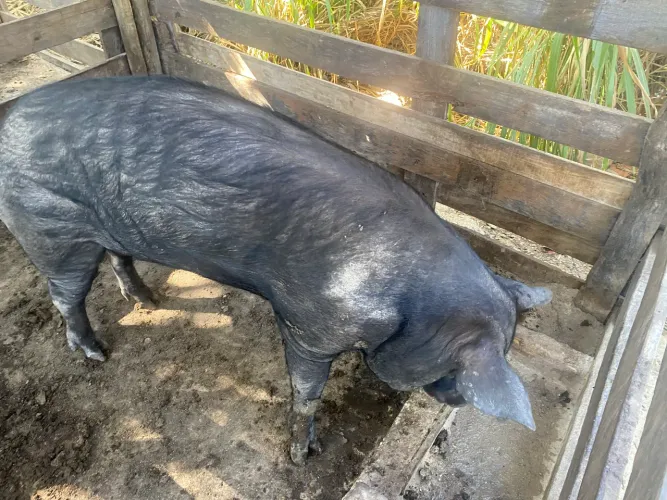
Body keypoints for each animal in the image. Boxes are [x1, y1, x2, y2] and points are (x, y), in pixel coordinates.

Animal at [0, 76, 552, 465]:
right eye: (455, 371)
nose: (456, 402)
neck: (411, 304)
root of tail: (9, 115)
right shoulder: (309, 323)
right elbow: (306, 394)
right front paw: (301, 456)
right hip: (48, 227)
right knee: (65, 295)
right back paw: (96, 353)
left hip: (106, 229)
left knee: (117, 257)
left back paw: (150, 301)